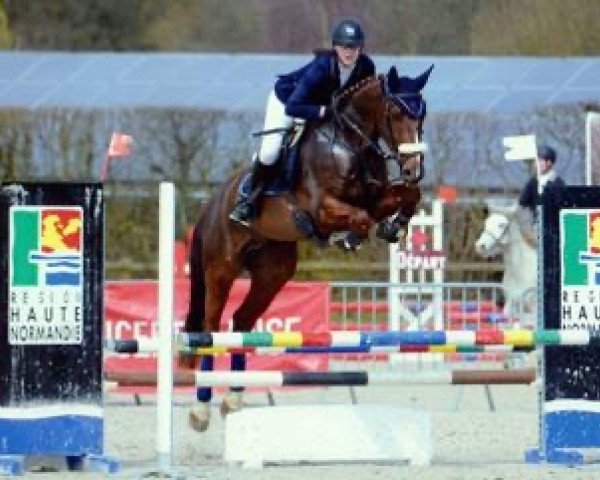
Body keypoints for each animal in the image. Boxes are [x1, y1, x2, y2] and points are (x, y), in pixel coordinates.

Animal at [183, 64, 432, 432]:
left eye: (422, 114)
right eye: (397, 112)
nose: (414, 169)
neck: (351, 143)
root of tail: (211, 204)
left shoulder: (377, 196)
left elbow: (405, 197)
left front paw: (392, 226)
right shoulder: (323, 209)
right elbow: (359, 218)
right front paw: (350, 236)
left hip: (272, 274)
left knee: (241, 321)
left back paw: (234, 400)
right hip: (221, 269)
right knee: (211, 328)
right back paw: (200, 410)